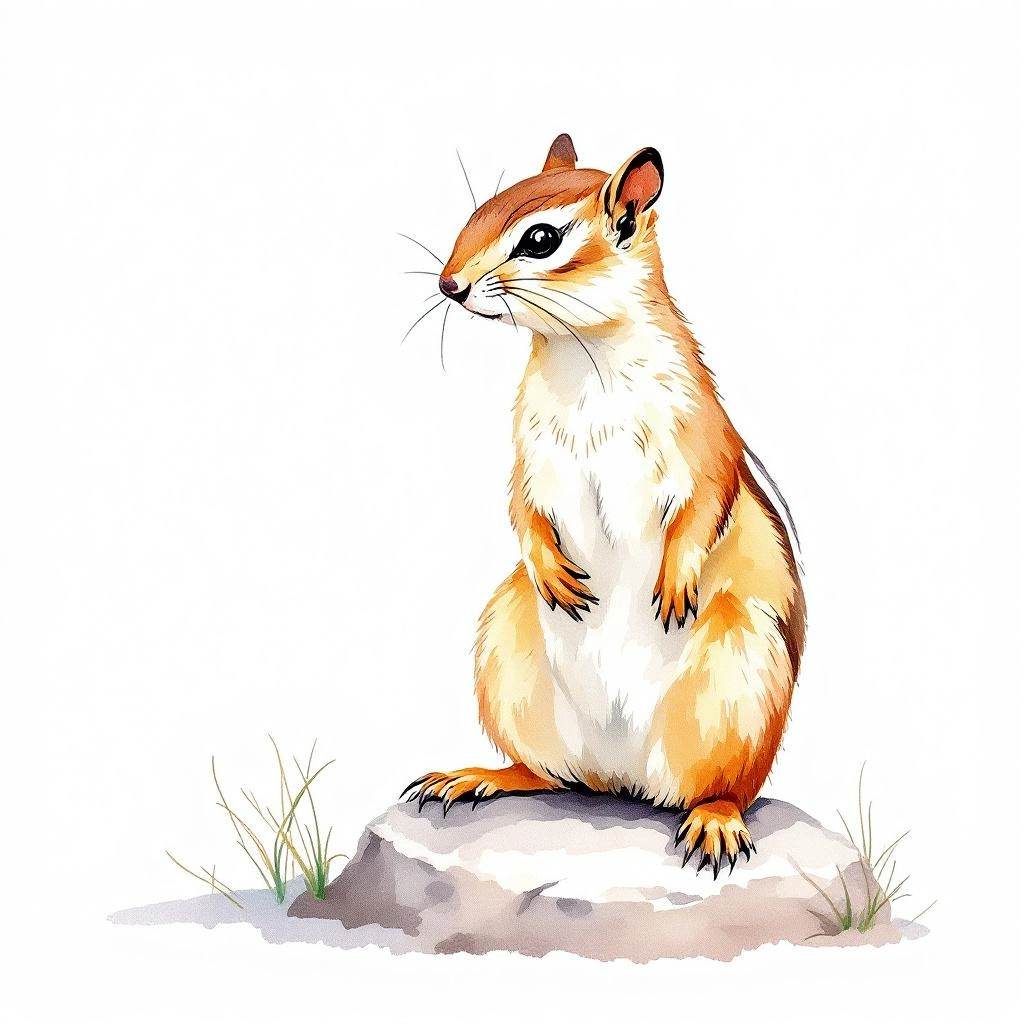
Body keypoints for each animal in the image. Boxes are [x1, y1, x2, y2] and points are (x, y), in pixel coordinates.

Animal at [403, 134, 806, 877]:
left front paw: (675, 579)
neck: (580, 354)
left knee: (723, 788)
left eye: (540, 239)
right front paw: (553, 568)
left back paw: (714, 821)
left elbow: (705, 504)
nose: (449, 284)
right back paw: (480, 777)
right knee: (551, 774)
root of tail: (622, 779)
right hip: (507, 646)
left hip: (737, 677)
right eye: (480, 209)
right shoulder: (528, 455)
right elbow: (521, 507)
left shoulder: (703, 438)